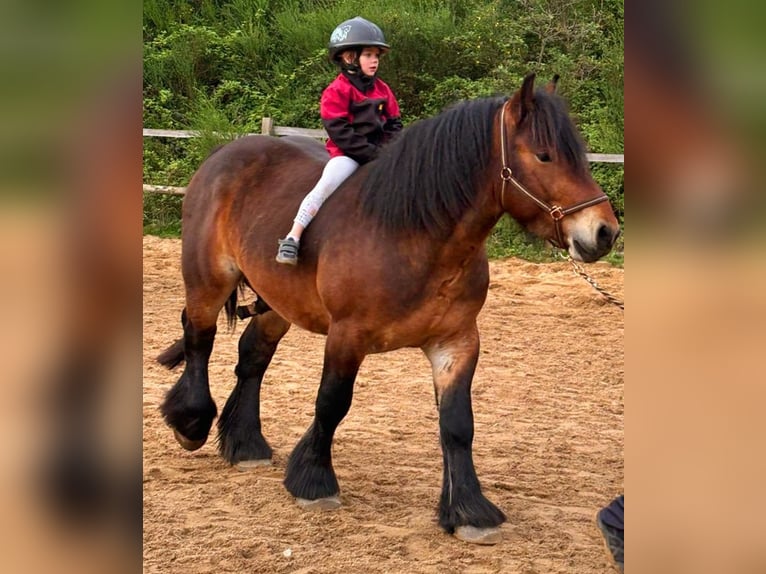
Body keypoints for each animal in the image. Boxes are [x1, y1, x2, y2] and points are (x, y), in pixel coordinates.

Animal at [159, 74, 620, 548]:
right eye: (545, 155)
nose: (604, 232)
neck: (414, 235)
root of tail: (224, 154)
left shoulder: (456, 343)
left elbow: (458, 424)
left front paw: (469, 509)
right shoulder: (347, 336)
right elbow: (331, 403)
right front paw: (314, 481)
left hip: (277, 302)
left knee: (252, 356)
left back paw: (246, 444)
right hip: (208, 281)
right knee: (199, 340)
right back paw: (191, 421)